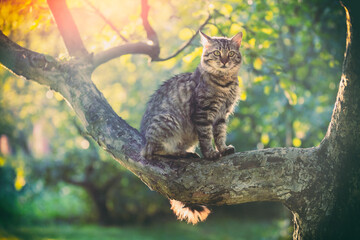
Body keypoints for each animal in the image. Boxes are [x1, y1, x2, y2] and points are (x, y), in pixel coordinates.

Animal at [139, 31, 243, 224]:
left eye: (231, 53)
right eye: (217, 53)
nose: (224, 61)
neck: (224, 83)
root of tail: (144, 141)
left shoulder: (222, 116)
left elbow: (220, 135)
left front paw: (223, 149)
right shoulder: (203, 113)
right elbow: (206, 137)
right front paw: (210, 154)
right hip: (168, 121)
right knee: (157, 151)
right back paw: (183, 154)